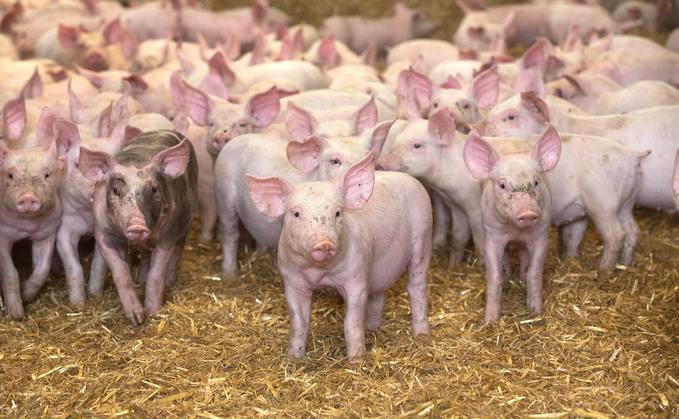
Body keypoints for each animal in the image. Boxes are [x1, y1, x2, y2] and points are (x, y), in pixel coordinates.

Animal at [0, 133, 66, 318]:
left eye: (47, 174)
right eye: (10, 175)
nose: (28, 197)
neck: (26, 226)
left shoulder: (47, 232)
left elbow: (42, 269)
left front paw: (26, 295)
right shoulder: (3, 236)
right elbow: (10, 273)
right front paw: (16, 314)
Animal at [77, 130, 198, 325]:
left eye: (154, 189)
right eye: (116, 190)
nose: (137, 226)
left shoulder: (167, 236)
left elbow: (156, 275)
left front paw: (152, 311)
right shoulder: (103, 235)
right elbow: (122, 274)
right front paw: (136, 319)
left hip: (185, 223)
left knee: (178, 249)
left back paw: (170, 282)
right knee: (146, 257)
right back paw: (140, 280)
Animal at [247, 152, 431, 362]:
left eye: (337, 213)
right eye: (296, 214)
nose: (324, 243)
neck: (321, 273)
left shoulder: (357, 280)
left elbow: (351, 323)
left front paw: (357, 361)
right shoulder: (292, 281)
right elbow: (298, 322)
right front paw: (292, 359)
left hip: (423, 236)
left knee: (417, 288)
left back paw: (421, 337)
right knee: (379, 293)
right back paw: (373, 329)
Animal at [463, 126, 561, 322]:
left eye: (536, 182)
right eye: (502, 185)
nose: (527, 213)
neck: (516, 231)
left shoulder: (541, 235)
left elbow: (535, 272)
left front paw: (536, 312)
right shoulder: (492, 235)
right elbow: (494, 276)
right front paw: (490, 321)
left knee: (522, 252)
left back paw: (520, 277)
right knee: (508, 254)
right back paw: (508, 277)